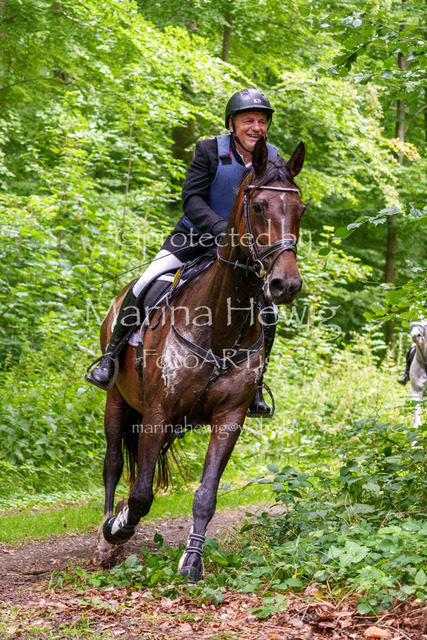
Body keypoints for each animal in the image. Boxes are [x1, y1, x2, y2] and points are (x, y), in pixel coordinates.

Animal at [91, 138, 306, 582]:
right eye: (258, 205)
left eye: (301, 209)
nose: (286, 284)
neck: (219, 323)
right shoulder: (158, 411)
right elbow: (141, 493)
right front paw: (118, 527)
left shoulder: (229, 418)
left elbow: (206, 494)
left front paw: (192, 560)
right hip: (117, 399)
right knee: (113, 464)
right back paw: (106, 536)